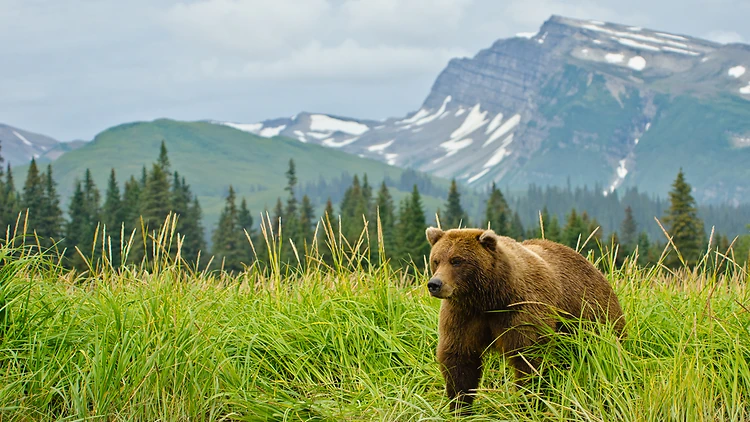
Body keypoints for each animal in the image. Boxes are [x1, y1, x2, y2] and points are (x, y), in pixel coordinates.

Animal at [425, 227, 625, 412]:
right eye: (436, 260)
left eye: (457, 260)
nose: (435, 284)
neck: (489, 298)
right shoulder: (463, 315)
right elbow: (459, 359)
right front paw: (460, 406)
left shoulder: (522, 310)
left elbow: (529, 358)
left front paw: (527, 402)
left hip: (591, 316)